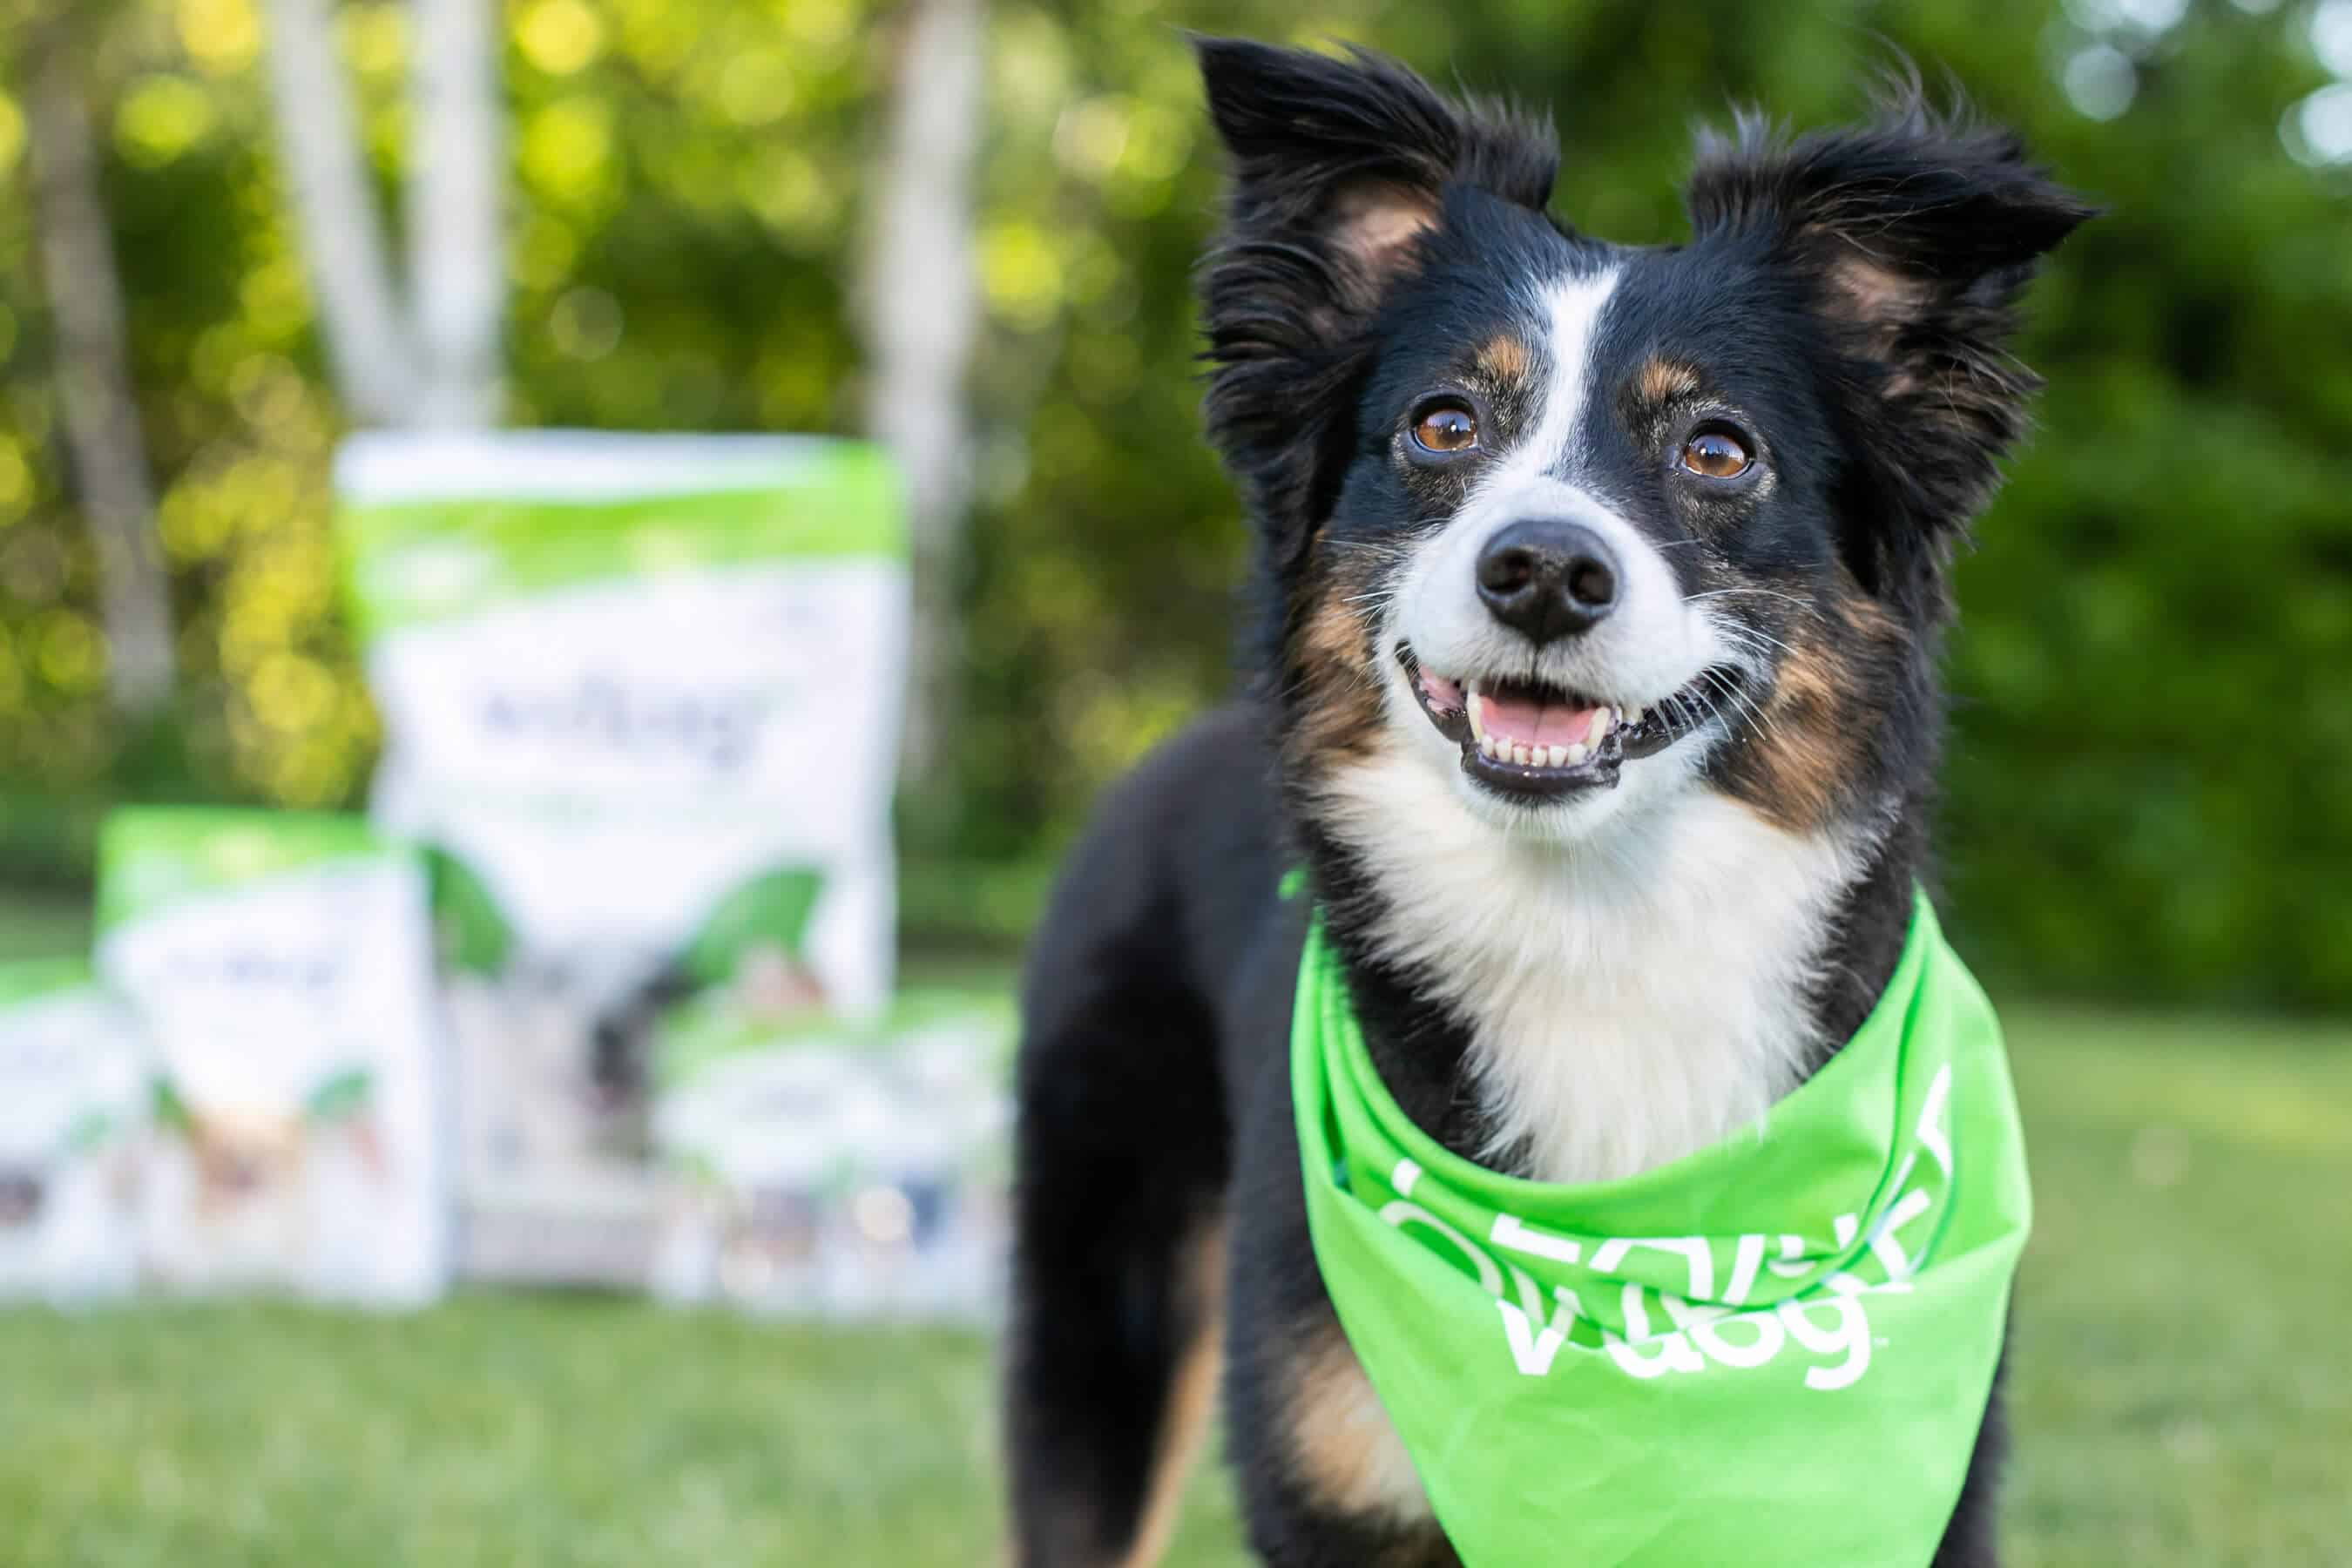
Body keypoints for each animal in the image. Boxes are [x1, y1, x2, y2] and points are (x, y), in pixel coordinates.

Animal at [1006, 37, 2098, 1568]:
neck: (1595, 931)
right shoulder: (1331, 1487)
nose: (1542, 571)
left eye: (1717, 449)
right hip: (1106, 1309)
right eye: (1443, 423)